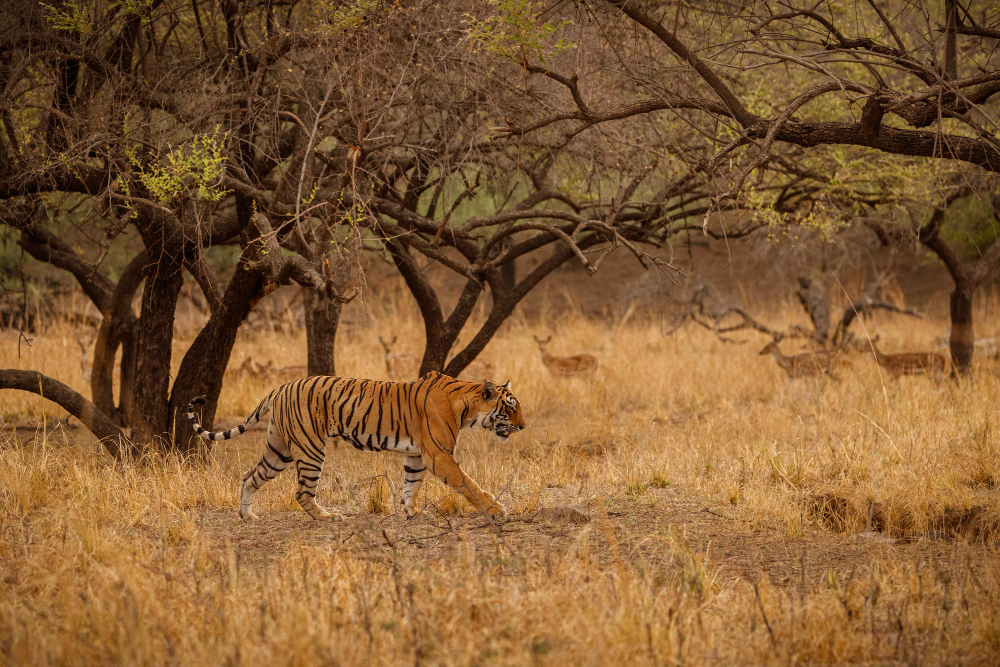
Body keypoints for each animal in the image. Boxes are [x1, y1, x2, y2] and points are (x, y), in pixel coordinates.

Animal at [187, 371, 525, 522]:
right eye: (509, 408)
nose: (523, 426)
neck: (467, 406)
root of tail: (280, 387)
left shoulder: (417, 455)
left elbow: (410, 485)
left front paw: (412, 513)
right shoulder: (439, 455)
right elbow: (469, 484)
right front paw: (496, 509)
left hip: (278, 449)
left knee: (249, 477)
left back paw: (248, 517)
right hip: (310, 448)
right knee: (302, 492)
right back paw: (328, 517)